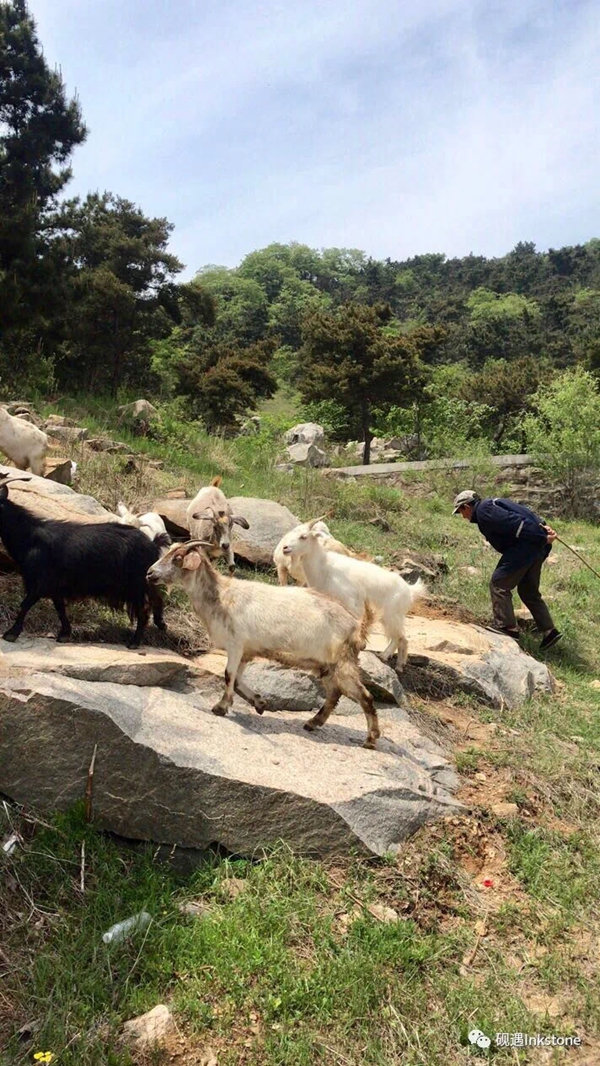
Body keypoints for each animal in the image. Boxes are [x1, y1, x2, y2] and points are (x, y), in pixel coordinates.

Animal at [0, 471, 166, 643]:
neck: (31, 538)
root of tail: (153, 544)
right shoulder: (54, 584)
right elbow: (59, 608)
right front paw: (64, 633)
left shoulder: (39, 581)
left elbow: (26, 604)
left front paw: (11, 633)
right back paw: (158, 625)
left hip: (135, 583)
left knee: (144, 609)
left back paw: (135, 642)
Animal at [147, 541, 379, 750]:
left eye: (178, 558)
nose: (149, 574)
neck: (222, 596)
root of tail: (357, 626)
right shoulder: (246, 652)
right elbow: (237, 681)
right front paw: (259, 703)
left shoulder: (236, 645)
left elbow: (228, 676)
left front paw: (220, 707)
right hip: (326, 666)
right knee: (334, 694)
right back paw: (313, 723)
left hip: (343, 662)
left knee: (364, 696)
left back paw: (370, 739)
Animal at [281, 518, 426, 673]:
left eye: (304, 536)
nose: (285, 548)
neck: (325, 567)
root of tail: (410, 590)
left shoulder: (352, 602)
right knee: (399, 638)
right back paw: (395, 661)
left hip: (392, 615)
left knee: (401, 638)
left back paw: (391, 661)